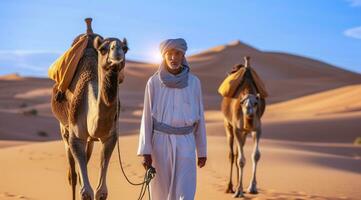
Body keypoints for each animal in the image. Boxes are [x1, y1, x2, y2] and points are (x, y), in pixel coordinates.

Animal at [50, 18, 129, 199]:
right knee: (72, 175)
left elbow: (101, 191)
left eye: (125, 48)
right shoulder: (76, 136)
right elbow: (86, 191)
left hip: (90, 140)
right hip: (64, 128)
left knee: (82, 168)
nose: (117, 50)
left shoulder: (110, 137)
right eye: (103, 49)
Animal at [218, 56, 266, 198]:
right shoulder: (237, 128)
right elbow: (240, 160)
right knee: (232, 155)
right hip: (228, 125)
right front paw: (238, 191)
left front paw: (252, 187)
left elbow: (255, 155)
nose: (249, 113)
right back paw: (230, 187)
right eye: (243, 103)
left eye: (256, 103)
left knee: (238, 152)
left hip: (244, 132)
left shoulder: (257, 129)